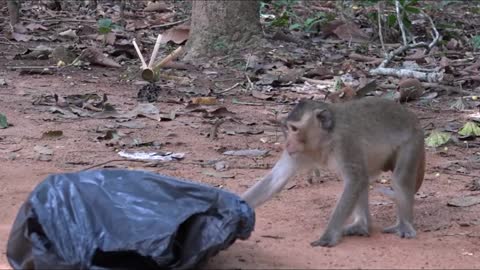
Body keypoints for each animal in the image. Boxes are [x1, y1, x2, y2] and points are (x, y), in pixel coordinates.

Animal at [242, 96, 426, 247]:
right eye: (287, 129)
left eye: (294, 129)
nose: (287, 144)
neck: (324, 141)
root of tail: (414, 120)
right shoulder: (298, 153)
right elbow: (276, 179)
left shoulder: (345, 141)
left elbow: (355, 180)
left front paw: (328, 236)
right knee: (364, 179)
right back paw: (362, 226)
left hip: (412, 141)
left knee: (397, 179)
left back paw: (404, 225)